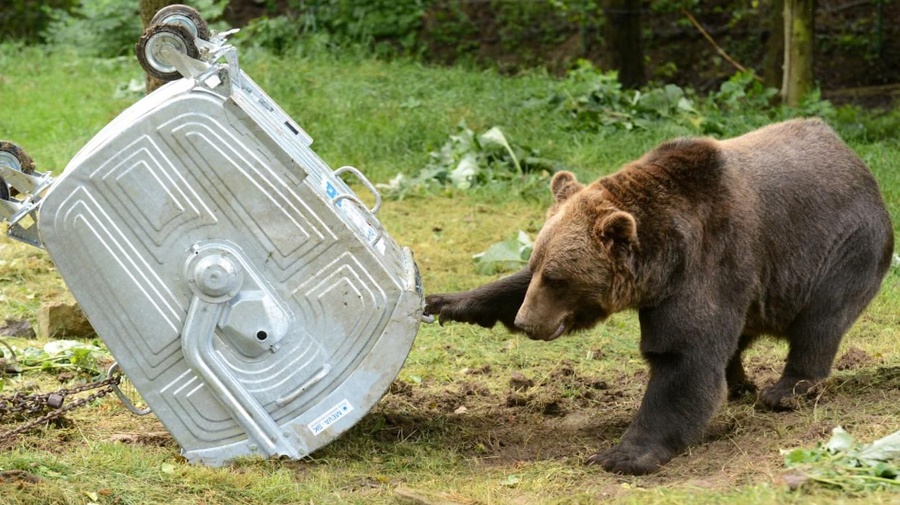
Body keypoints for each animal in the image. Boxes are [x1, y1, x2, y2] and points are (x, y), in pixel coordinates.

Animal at [424, 118, 892, 472]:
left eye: (558, 278)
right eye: (538, 265)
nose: (526, 322)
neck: (664, 261)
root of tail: (856, 160)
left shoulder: (709, 263)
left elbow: (682, 358)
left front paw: (621, 454)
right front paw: (445, 302)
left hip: (839, 249)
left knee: (819, 322)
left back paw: (786, 389)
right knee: (740, 335)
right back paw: (739, 382)